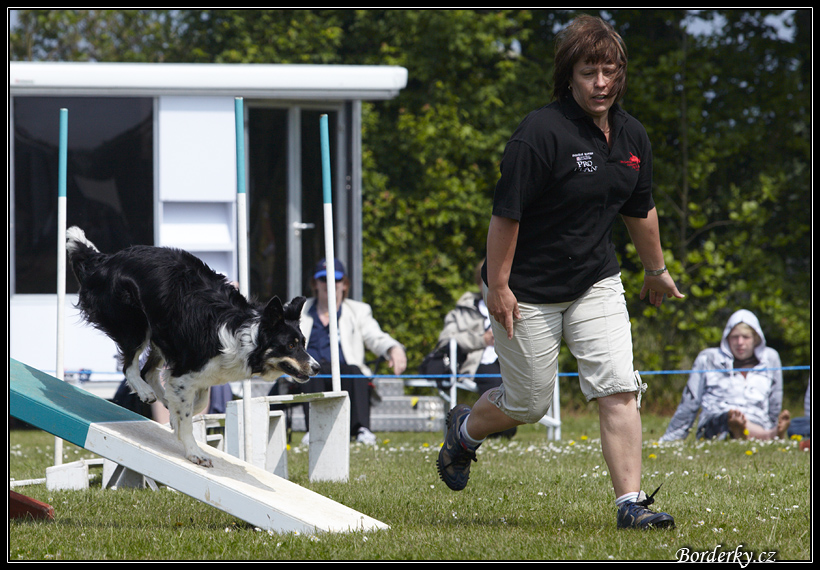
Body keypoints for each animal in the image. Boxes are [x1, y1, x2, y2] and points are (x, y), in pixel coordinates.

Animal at [65, 226, 320, 466]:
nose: (317, 368)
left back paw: (160, 397)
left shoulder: (199, 372)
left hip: (162, 334)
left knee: (148, 371)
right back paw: (145, 392)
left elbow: (198, 404)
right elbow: (188, 413)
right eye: (290, 345)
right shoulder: (187, 370)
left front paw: (174, 418)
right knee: (130, 365)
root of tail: (106, 259)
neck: (247, 338)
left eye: (303, 343)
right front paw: (194, 452)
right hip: (136, 323)